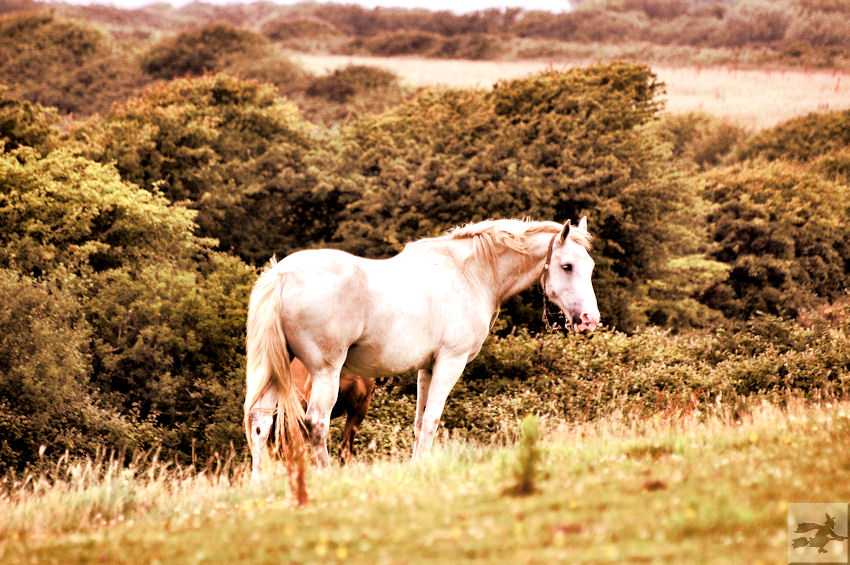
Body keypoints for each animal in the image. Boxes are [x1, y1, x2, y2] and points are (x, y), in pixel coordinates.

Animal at [244, 217, 599, 483]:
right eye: (567, 266)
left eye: (590, 266)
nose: (590, 320)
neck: (469, 273)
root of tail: (281, 274)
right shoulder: (449, 363)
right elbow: (431, 419)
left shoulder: (426, 368)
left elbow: (418, 422)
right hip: (325, 372)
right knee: (316, 423)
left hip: (276, 369)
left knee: (261, 422)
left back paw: (259, 483)